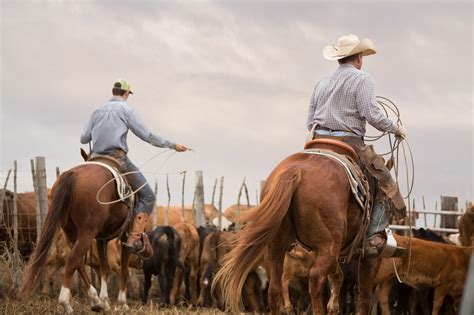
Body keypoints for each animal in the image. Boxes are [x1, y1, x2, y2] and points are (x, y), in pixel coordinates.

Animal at [19, 165, 132, 314]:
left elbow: (104, 269)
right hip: (87, 233)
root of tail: (72, 173)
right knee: (74, 259)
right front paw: (123, 303)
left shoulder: (102, 239)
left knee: (77, 261)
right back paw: (66, 302)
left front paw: (105, 302)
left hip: (71, 234)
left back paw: (96, 300)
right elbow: (123, 269)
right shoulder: (126, 236)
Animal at [213, 144, 380, 315]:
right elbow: (365, 295)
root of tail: (295, 170)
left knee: (275, 288)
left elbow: (337, 278)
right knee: (315, 279)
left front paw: (333, 307)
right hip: (328, 248)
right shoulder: (369, 254)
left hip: (276, 247)